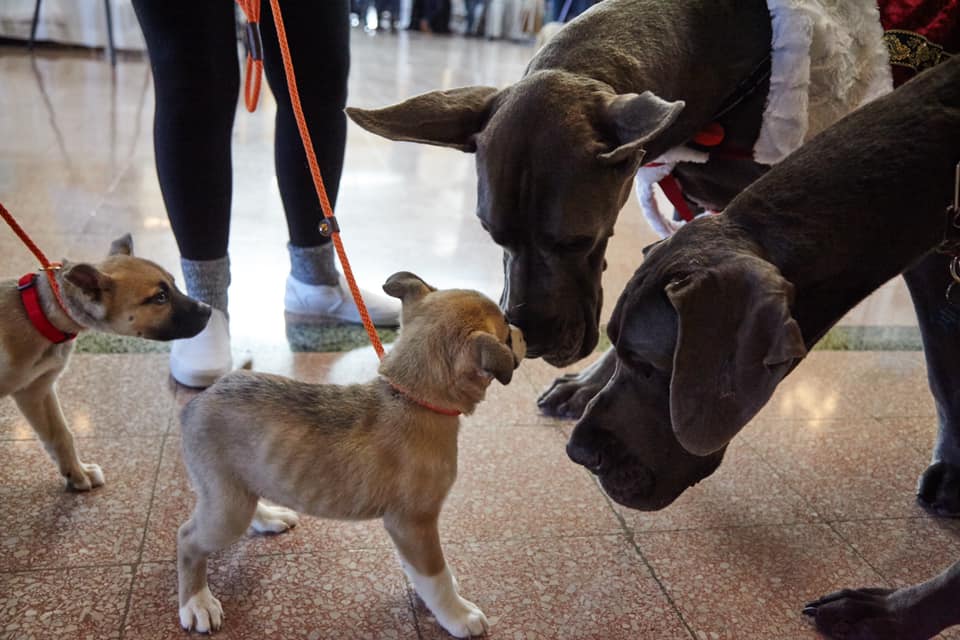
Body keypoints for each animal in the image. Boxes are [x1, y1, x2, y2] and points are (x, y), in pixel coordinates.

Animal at [0, 235, 210, 490]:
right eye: (160, 297)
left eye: (174, 284)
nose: (209, 310)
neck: (40, 314)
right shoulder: (34, 390)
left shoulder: (35, 389)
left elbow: (61, 434)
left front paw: (77, 473)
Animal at [176, 272, 528, 636]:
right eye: (506, 330)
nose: (522, 332)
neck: (412, 397)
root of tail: (201, 398)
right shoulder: (414, 523)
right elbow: (436, 575)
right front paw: (457, 614)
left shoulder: (410, 533)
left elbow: (417, 570)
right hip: (225, 509)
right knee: (188, 540)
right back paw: (196, 603)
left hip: (239, 489)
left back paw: (269, 518)